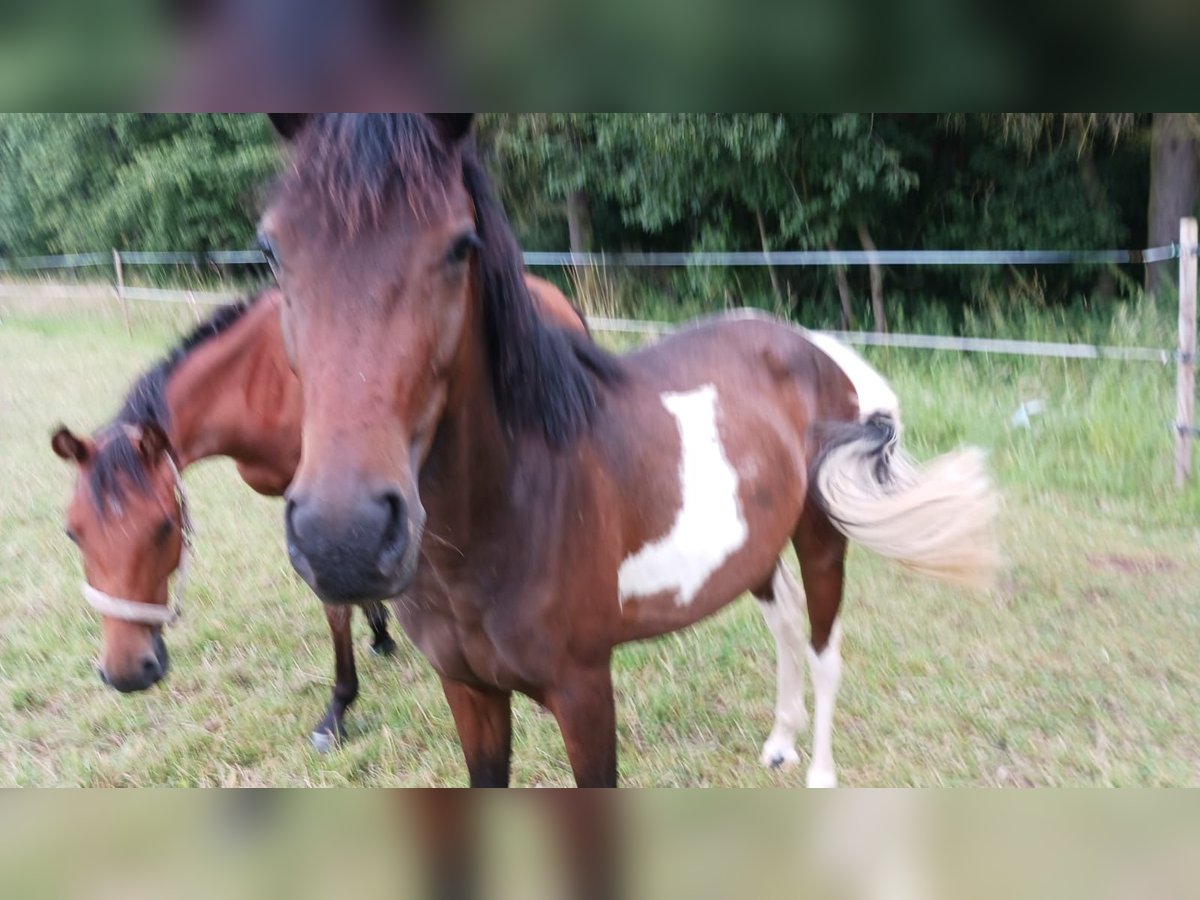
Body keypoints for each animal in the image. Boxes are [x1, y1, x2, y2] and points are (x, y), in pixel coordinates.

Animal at [51, 273, 590, 748]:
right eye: (73, 533)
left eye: (164, 528)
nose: (126, 671)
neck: (260, 379)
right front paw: (381, 632)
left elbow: (334, 607)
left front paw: (338, 709)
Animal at [265, 114, 1003, 787]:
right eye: (271, 248)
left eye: (460, 244)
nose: (343, 537)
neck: (517, 498)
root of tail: (817, 350)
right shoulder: (468, 691)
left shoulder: (584, 691)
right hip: (756, 551)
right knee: (786, 628)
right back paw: (779, 744)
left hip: (821, 542)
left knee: (825, 651)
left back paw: (818, 772)